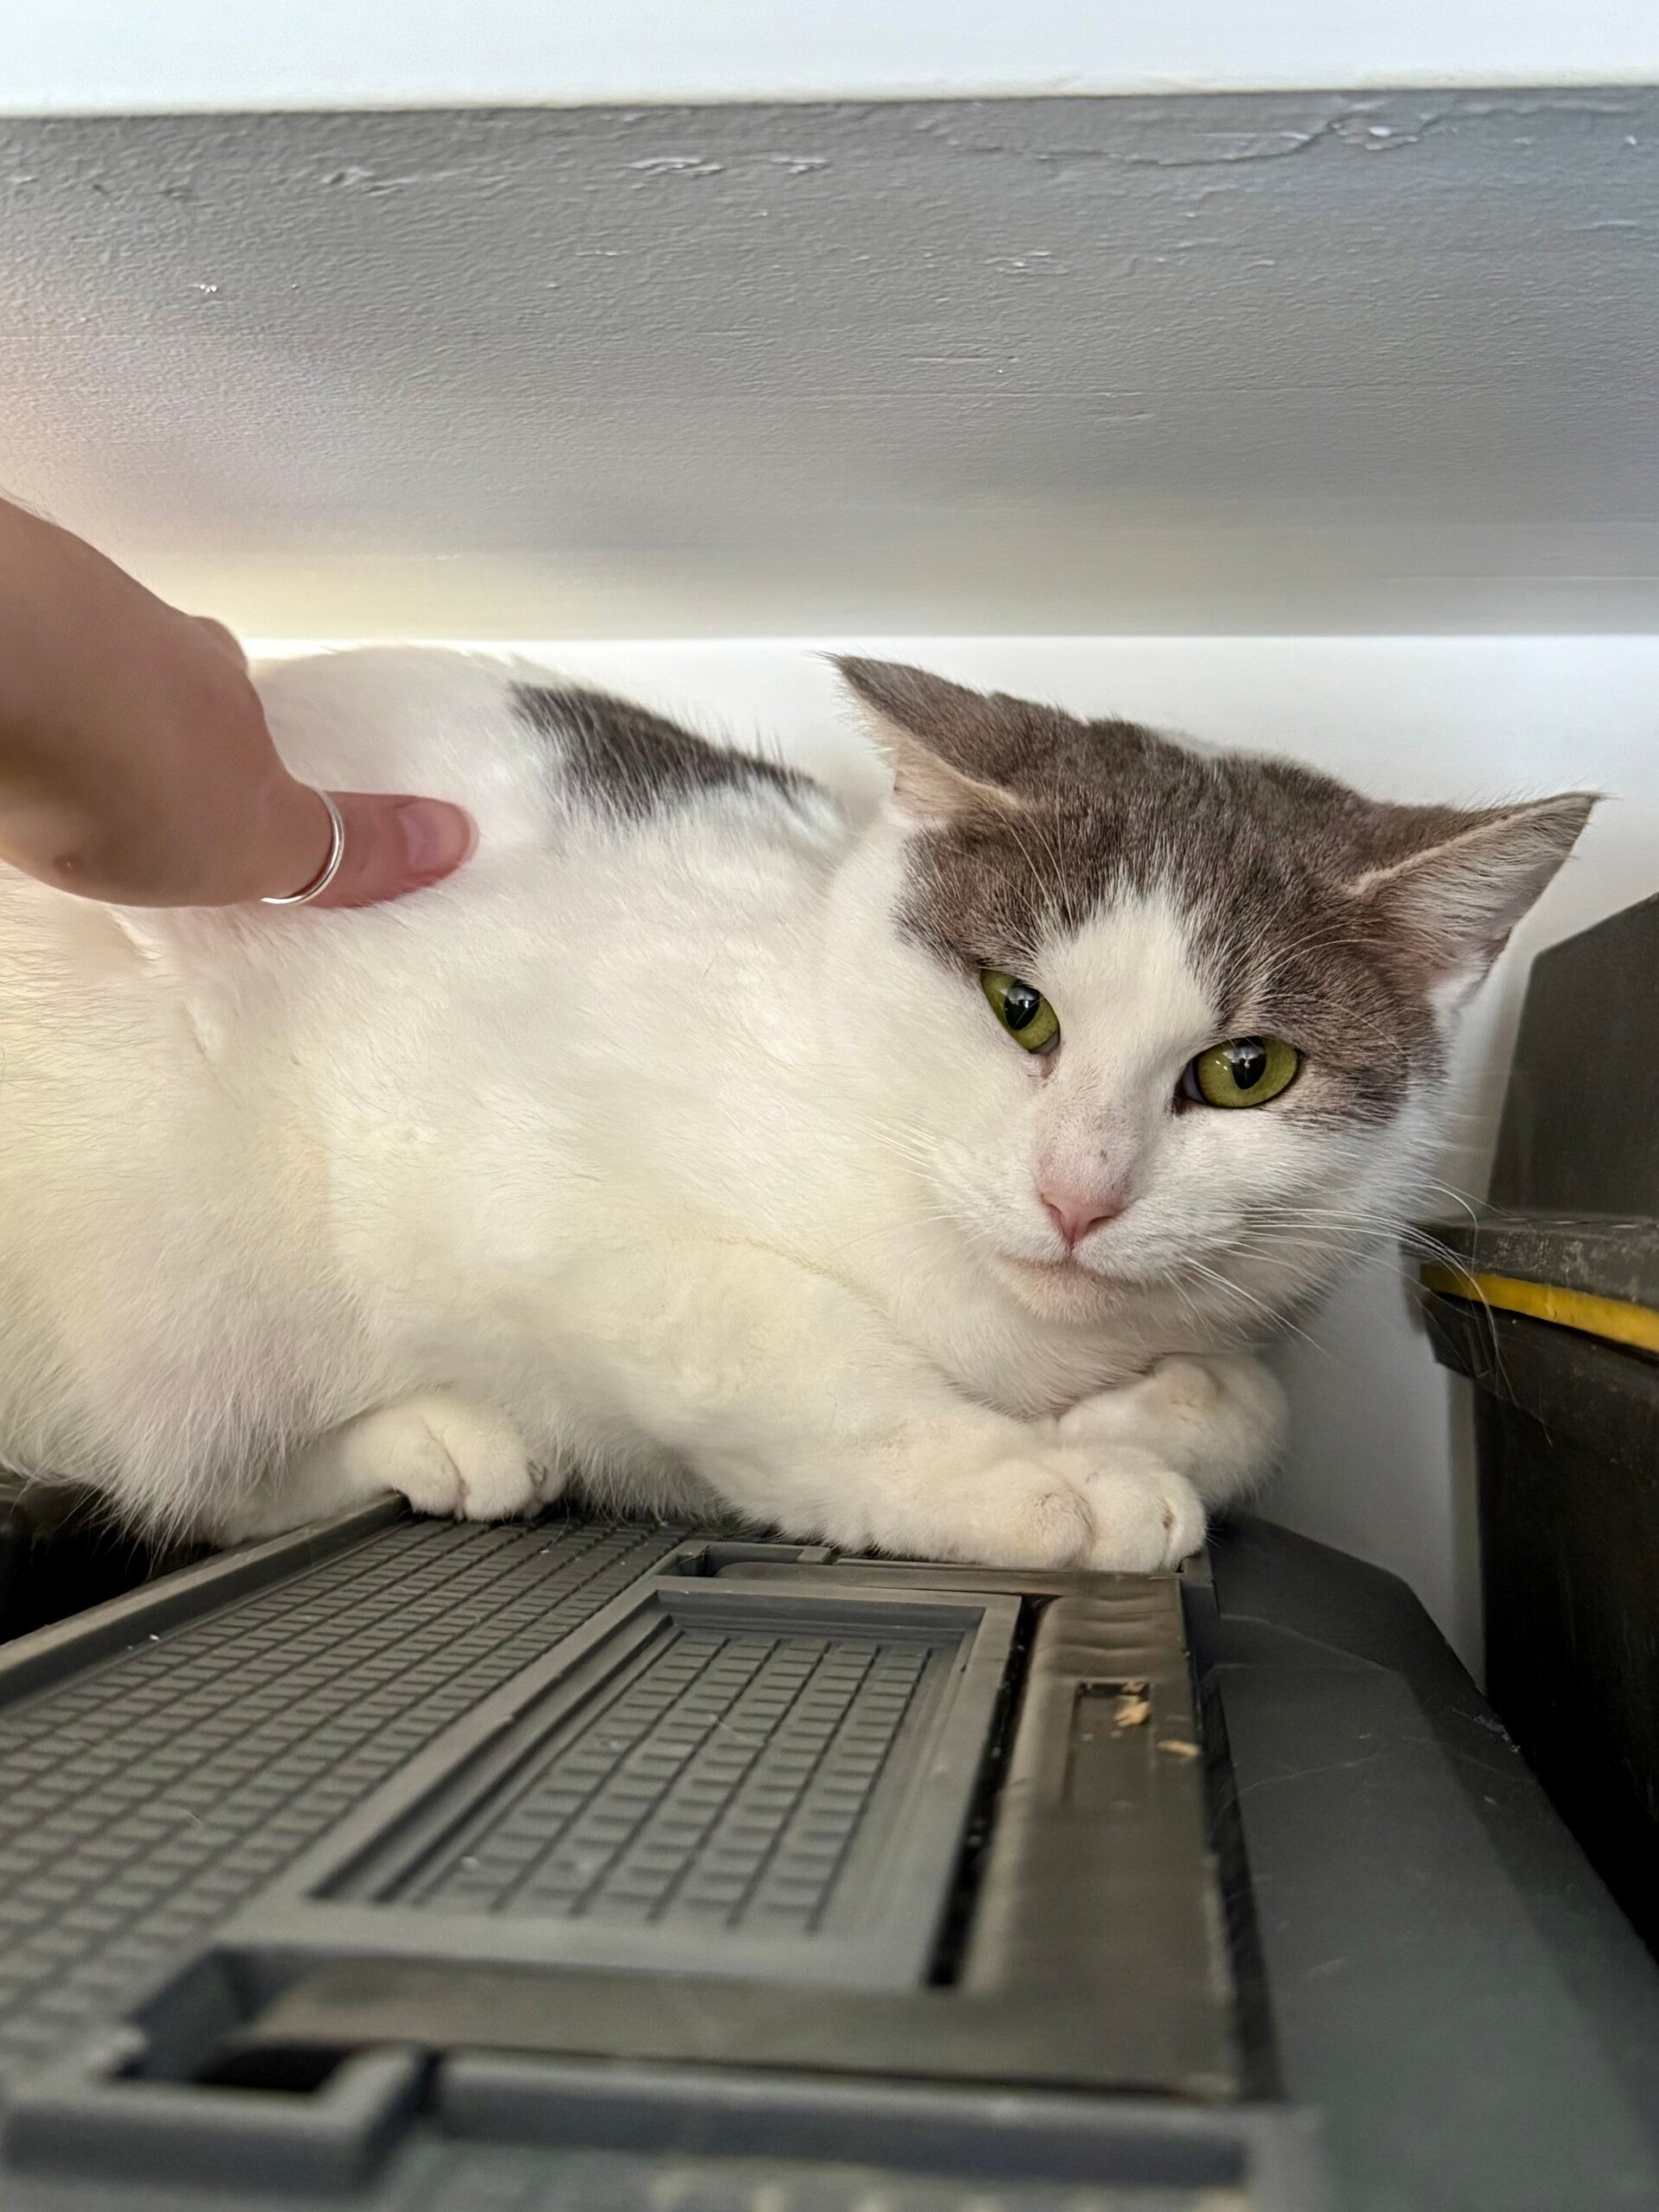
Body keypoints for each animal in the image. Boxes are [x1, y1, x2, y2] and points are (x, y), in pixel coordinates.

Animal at [0, 650, 1592, 1570]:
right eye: (1018, 1005)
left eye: (1245, 1069)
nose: (1079, 1192)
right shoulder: (531, 1196)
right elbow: (793, 1354)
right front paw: (1045, 1481)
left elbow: (1256, 1404)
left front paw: (1150, 1417)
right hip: (165, 1228)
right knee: (180, 1459)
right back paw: (439, 1435)